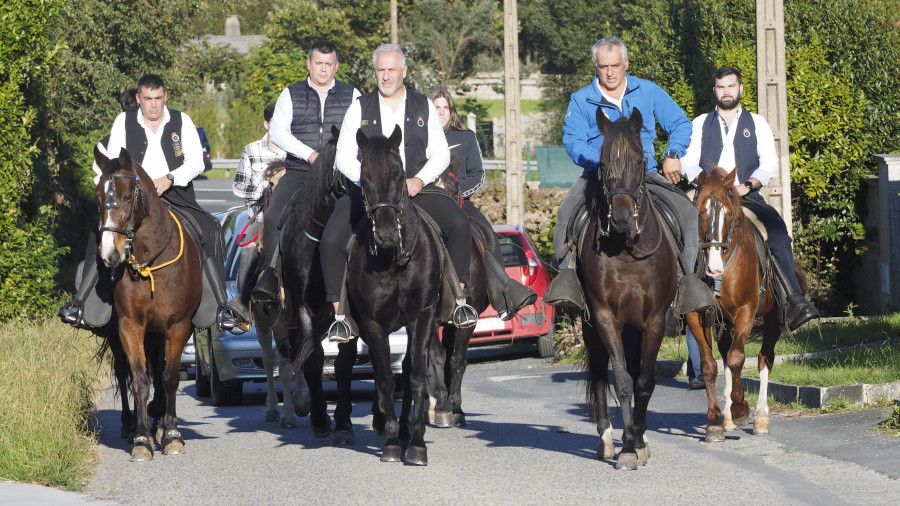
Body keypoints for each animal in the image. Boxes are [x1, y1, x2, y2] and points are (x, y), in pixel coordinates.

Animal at [95, 147, 200, 462]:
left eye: (128, 196)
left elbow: (170, 377)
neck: (150, 263)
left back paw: (161, 424)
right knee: (123, 373)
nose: (109, 254)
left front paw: (172, 434)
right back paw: (131, 425)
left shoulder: (178, 327)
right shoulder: (130, 327)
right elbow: (140, 379)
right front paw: (142, 440)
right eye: (98, 196)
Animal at [576, 107, 676, 470]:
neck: (626, 251)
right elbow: (620, 381)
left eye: (639, 160)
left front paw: (639, 442)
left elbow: (644, 381)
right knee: (600, 373)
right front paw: (628, 447)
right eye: (603, 162)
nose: (619, 218)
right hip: (593, 327)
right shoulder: (605, 317)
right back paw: (607, 440)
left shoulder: (654, 319)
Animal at [684, 168, 796, 440]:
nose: (714, 267)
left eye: (728, 214)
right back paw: (727, 417)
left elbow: (737, 359)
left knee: (764, 358)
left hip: (773, 319)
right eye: (700, 213)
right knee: (726, 358)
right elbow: (709, 366)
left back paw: (760, 417)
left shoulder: (746, 311)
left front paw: (741, 409)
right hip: (724, 324)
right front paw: (715, 422)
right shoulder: (697, 315)